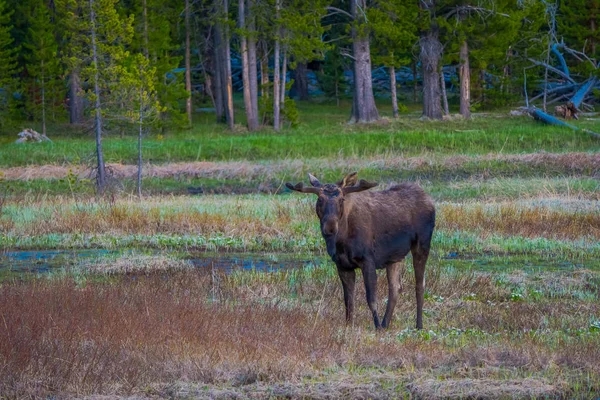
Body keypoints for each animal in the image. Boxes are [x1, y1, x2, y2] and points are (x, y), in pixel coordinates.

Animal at [288, 173, 436, 330]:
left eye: (341, 199)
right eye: (320, 199)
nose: (330, 227)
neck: (341, 241)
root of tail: (429, 199)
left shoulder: (367, 260)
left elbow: (371, 299)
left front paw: (377, 327)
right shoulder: (342, 266)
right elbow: (348, 301)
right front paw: (349, 326)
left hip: (421, 245)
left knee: (419, 285)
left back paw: (418, 325)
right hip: (395, 257)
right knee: (395, 288)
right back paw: (386, 324)